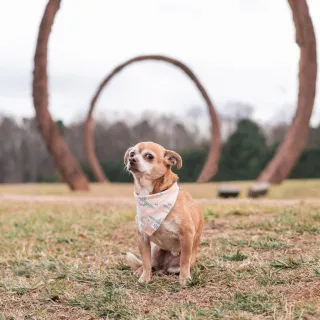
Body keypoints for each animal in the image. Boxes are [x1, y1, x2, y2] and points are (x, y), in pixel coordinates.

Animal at [124, 141, 204, 286]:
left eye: (149, 156)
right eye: (132, 154)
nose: (131, 160)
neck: (152, 195)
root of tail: (164, 267)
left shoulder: (186, 236)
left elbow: (184, 261)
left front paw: (185, 278)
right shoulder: (143, 238)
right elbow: (146, 262)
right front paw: (144, 278)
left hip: (178, 263)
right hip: (155, 250)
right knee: (151, 264)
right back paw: (141, 271)